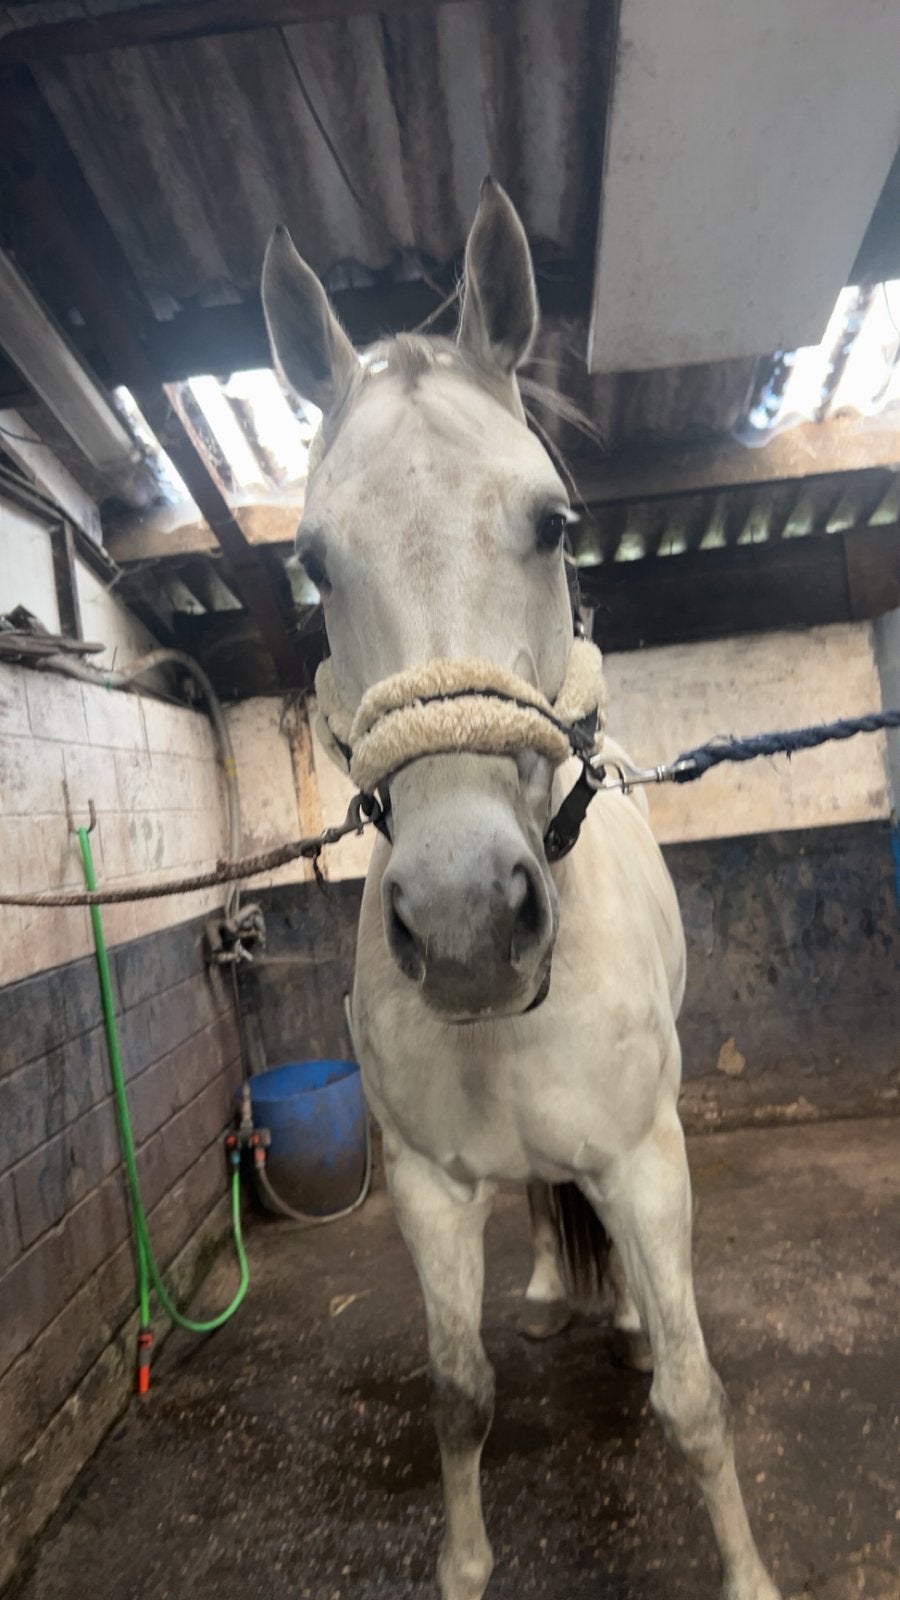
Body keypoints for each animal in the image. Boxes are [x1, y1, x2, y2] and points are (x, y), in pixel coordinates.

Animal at [261, 178, 782, 1600]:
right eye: (315, 562)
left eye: (552, 522)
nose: (464, 927)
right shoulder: (430, 1190)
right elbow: (460, 1398)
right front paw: (462, 1564)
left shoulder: (643, 1159)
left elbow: (698, 1401)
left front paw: (750, 1573)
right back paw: (555, 1285)